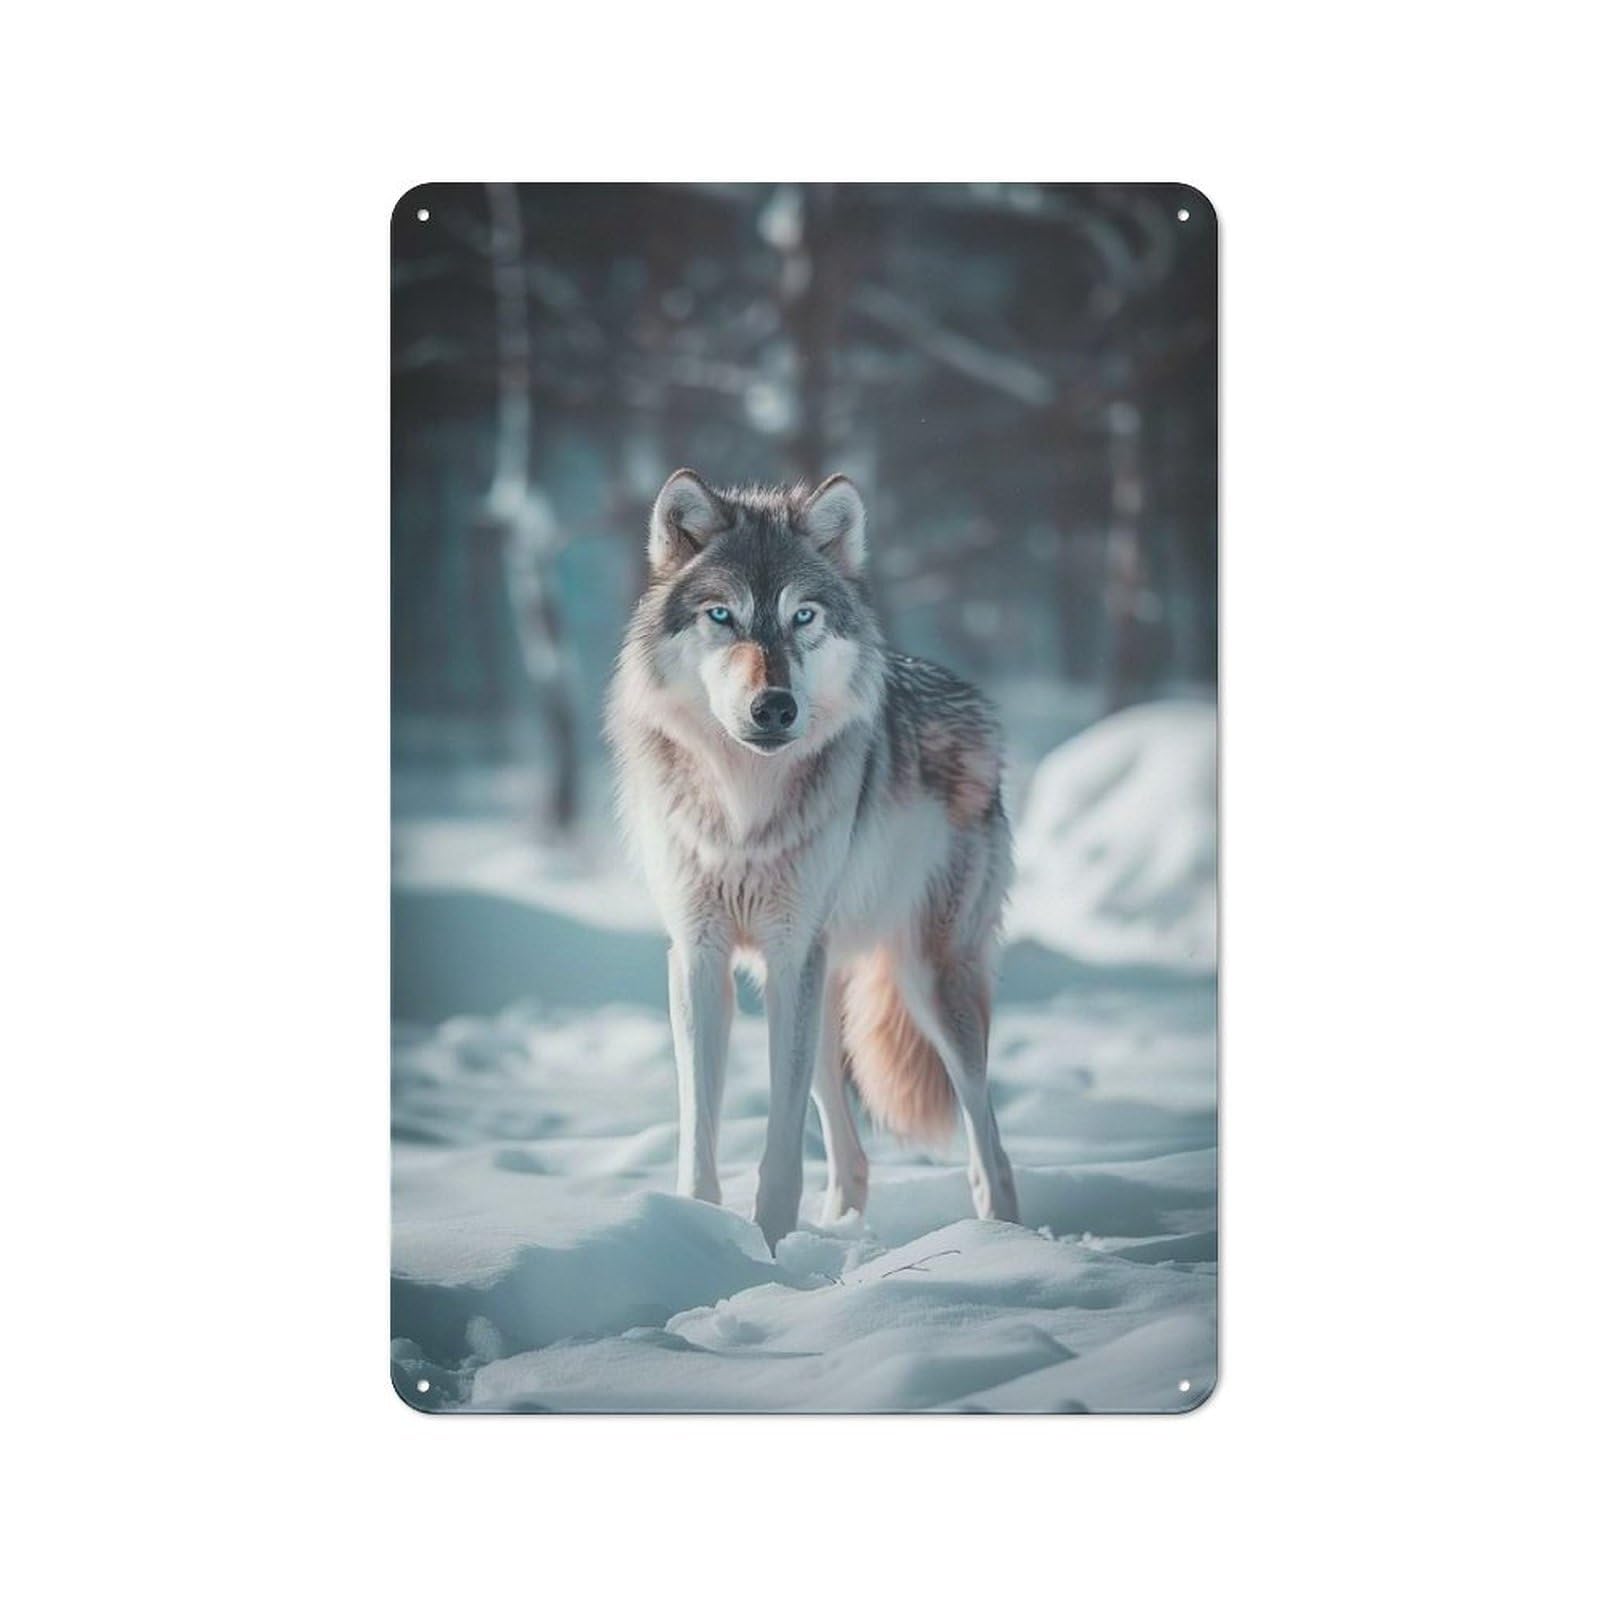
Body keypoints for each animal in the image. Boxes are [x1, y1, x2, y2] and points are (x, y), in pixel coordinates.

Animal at [607, 469, 1019, 1250]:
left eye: (802, 616)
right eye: (723, 615)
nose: (774, 707)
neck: (742, 808)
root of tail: (977, 705)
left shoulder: (791, 952)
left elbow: (780, 1142)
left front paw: (766, 1248)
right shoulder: (699, 955)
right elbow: (699, 1134)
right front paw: (709, 1240)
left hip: (925, 979)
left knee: (989, 1142)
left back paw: (1003, 1240)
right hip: (821, 994)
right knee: (853, 1155)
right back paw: (843, 1232)